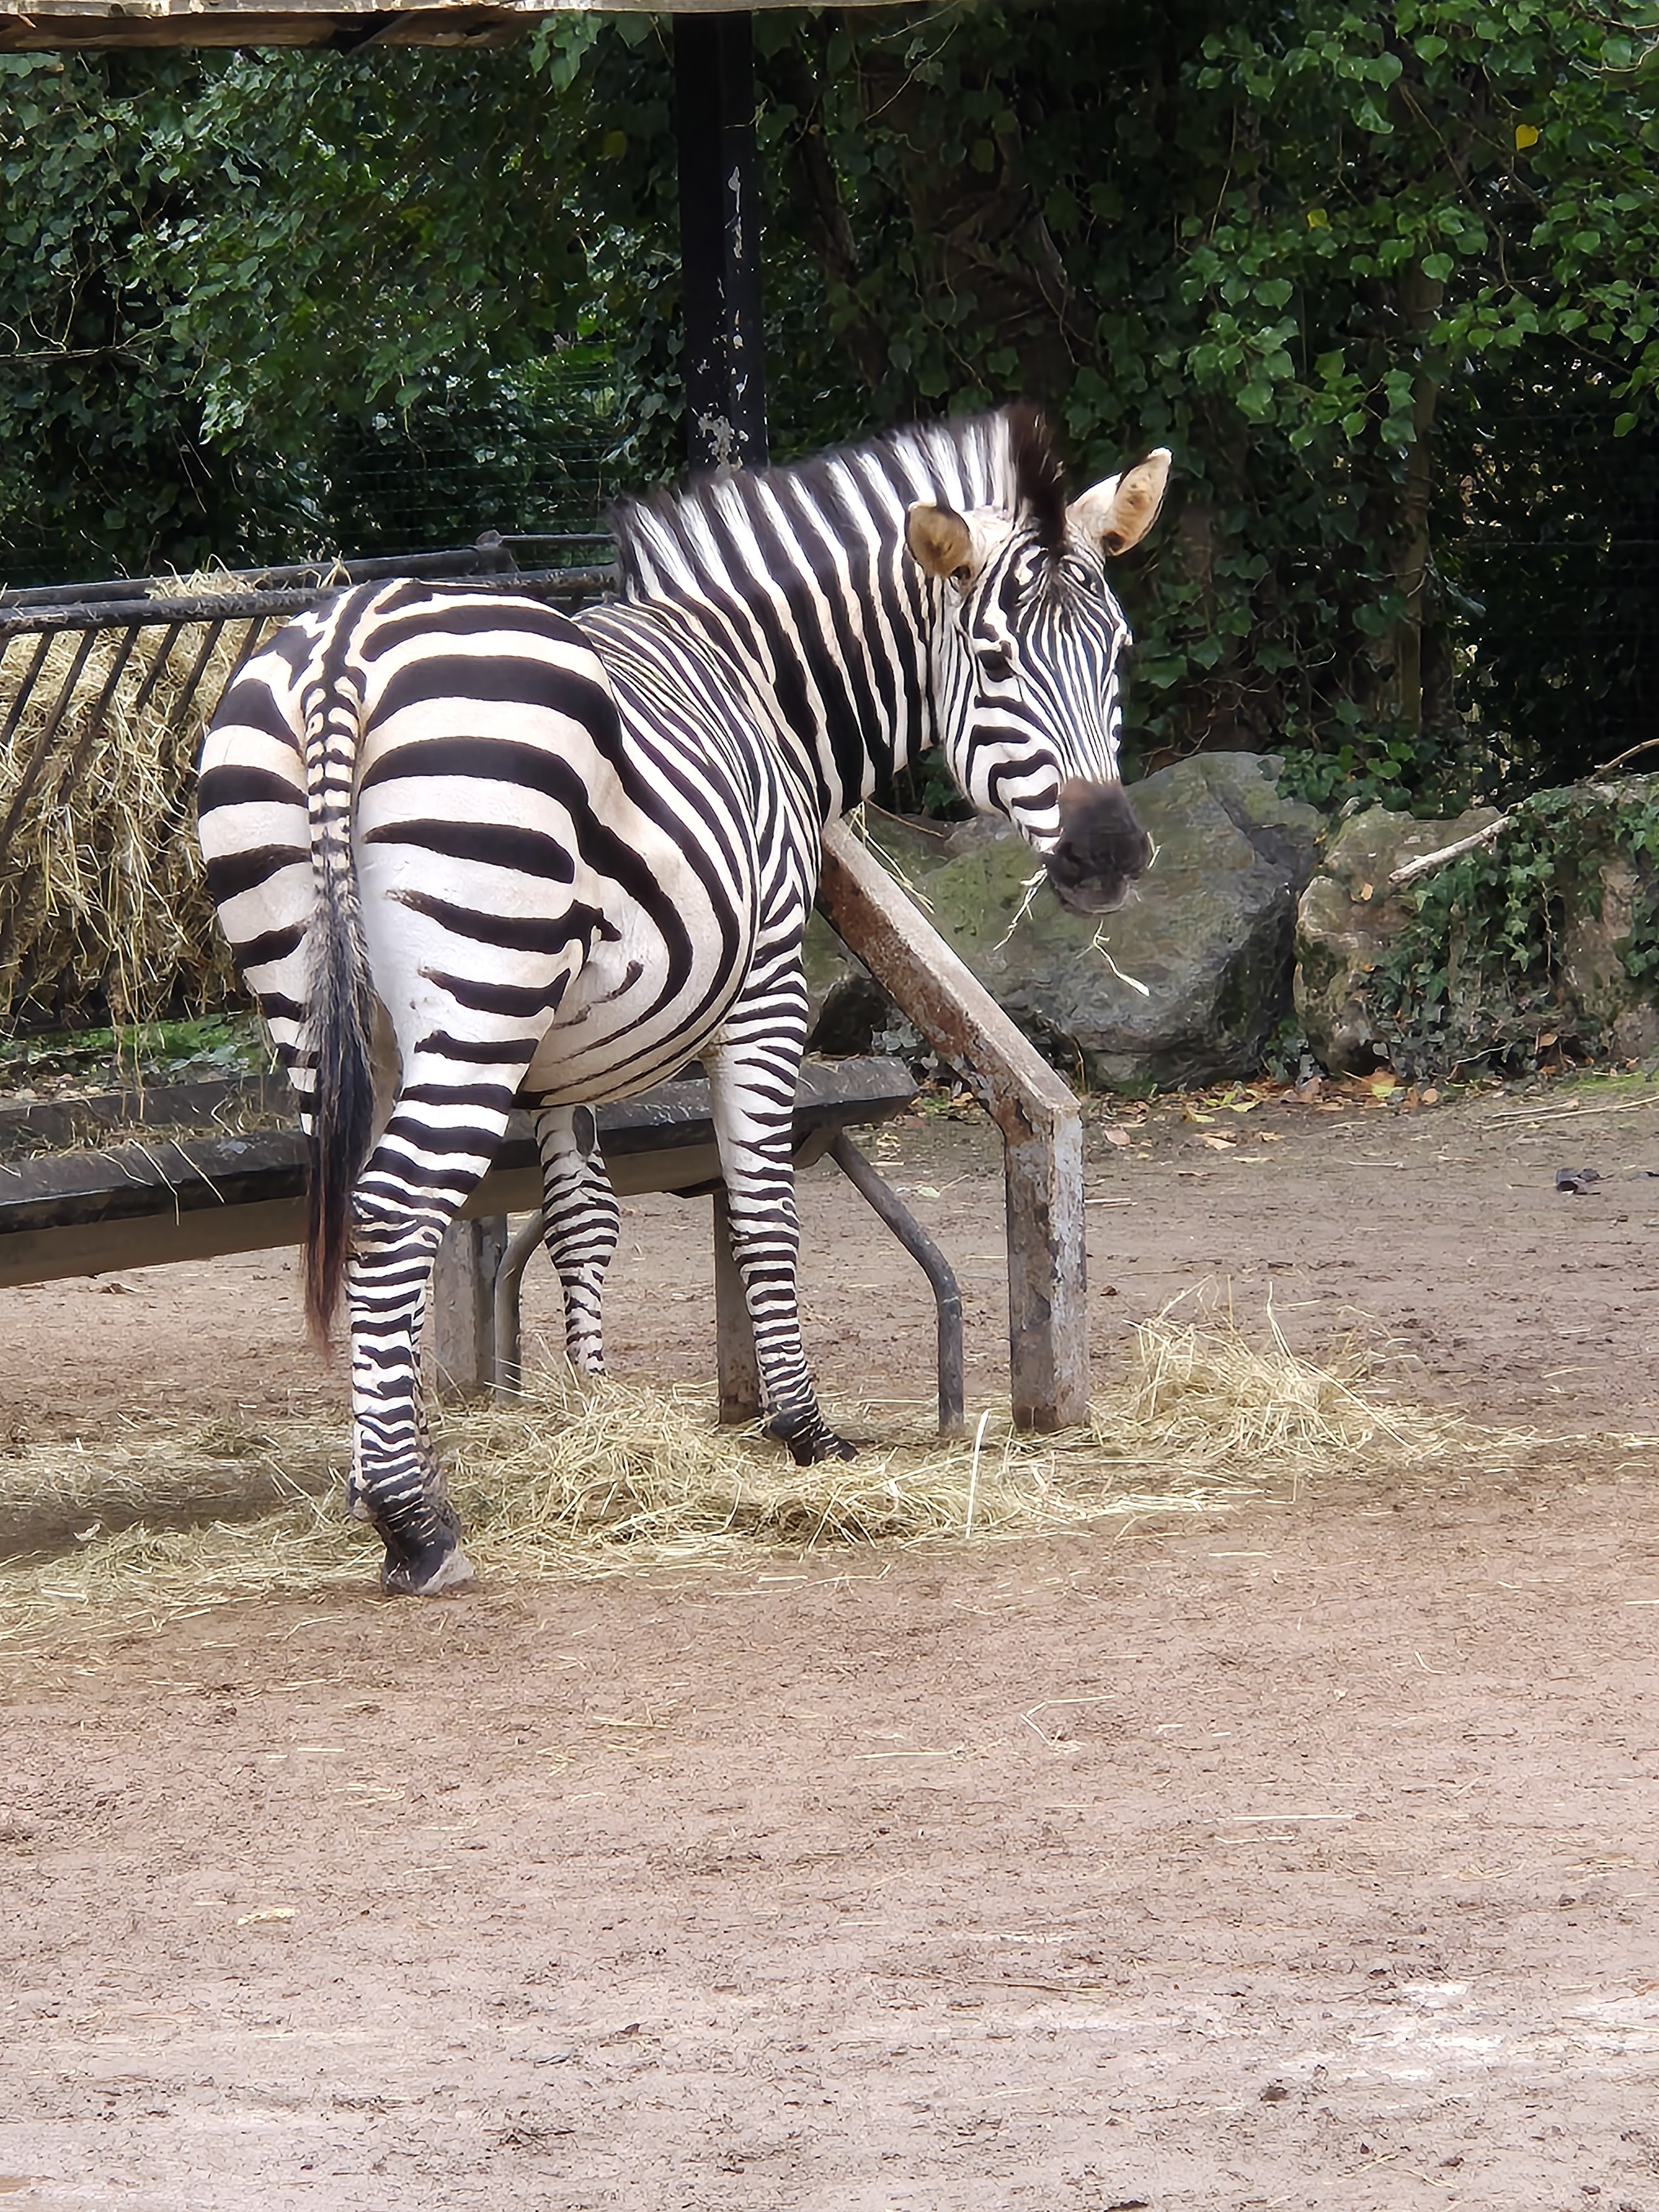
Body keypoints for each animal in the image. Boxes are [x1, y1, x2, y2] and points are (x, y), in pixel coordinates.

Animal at [196, 405, 1169, 1596]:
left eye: (1117, 653)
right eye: (992, 661)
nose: (1109, 856)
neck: (757, 681)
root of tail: (346, 641)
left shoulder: (561, 1052)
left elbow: (584, 1220)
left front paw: (592, 1416)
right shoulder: (766, 988)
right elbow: (763, 1209)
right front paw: (805, 1430)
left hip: (326, 1003)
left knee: (353, 1208)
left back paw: (382, 1477)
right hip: (482, 997)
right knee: (392, 1207)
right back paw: (413, 1524)